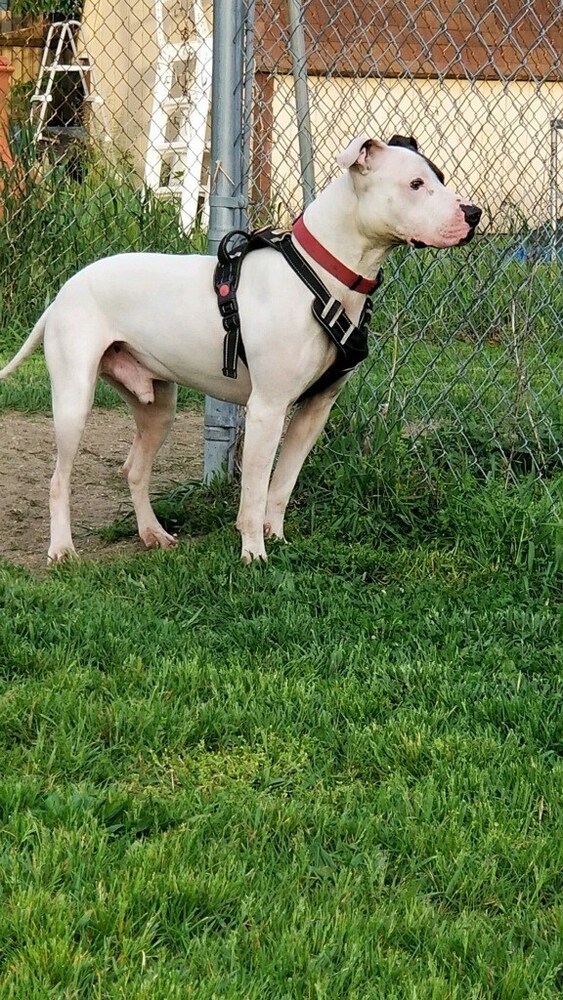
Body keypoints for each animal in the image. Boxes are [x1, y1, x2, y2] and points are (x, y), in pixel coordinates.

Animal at [2, 135, 482, 564]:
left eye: (439, 177)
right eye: (416, 184)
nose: (474, 213)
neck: (323, 277)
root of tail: (64, 291)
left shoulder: (314, 410)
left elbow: (281, 486)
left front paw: (277, 536)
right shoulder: (266, 409)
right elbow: (253, 491)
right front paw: (253, 552)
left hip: (158, 408)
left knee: (134, 469)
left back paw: (152, 534)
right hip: (73, 401)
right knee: (58, 479)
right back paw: (61, 549)